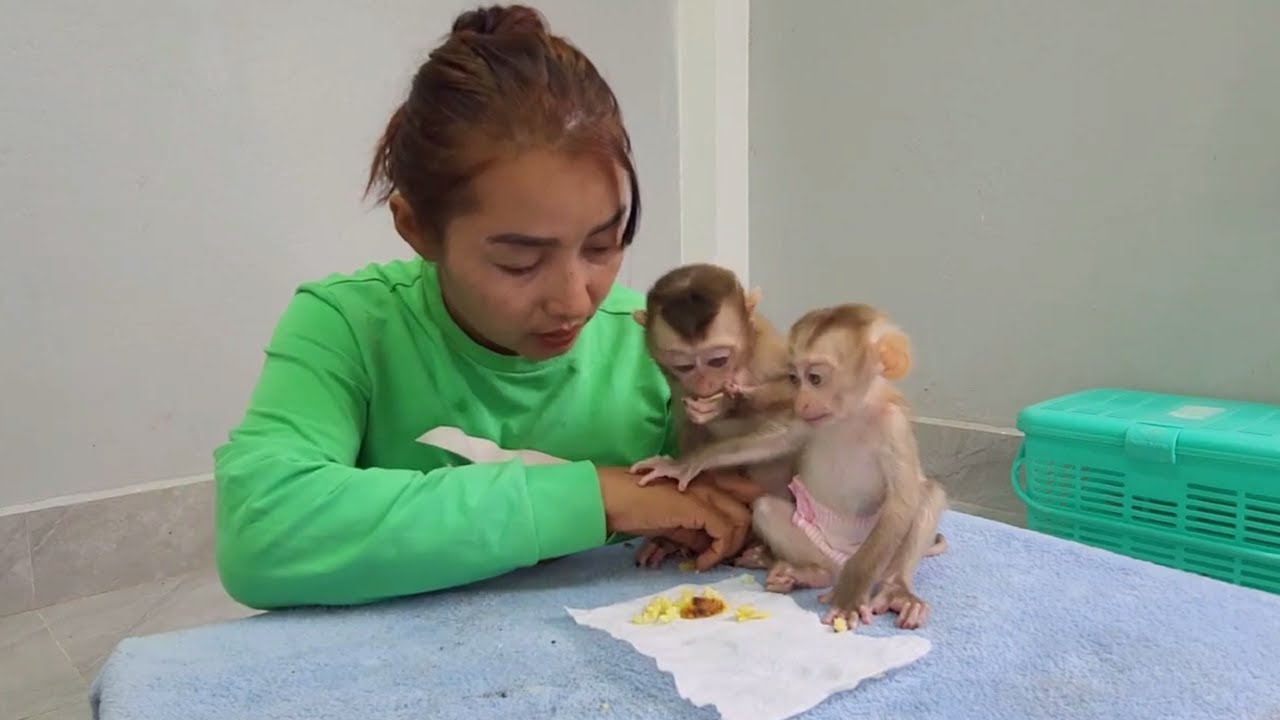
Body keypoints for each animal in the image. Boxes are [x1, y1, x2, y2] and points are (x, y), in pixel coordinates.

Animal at [628, 263, 800, 568]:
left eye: (718, 360)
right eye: (684, 366)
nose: (706, 384)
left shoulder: (767, 349)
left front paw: (729, 403)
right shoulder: (674, 378)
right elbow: (687, 423)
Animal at [629, 303, 947, 630]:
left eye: (815, 378)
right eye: (795, 379)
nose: (803, 402)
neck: (849, 418)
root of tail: (841, 556)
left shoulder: (893, 427)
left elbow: (901, 505)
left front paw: (850, 594)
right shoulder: (805, 422)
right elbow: (773, 441)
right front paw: (685, 464)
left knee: (928, 495)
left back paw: (897, 588)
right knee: (767, 510)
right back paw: (815, 572)